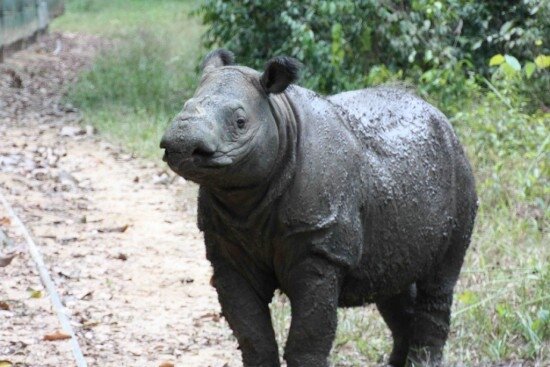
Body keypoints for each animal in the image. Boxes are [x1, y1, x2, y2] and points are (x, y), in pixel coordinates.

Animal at [160, 49, 478, 367]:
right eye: (184, 106)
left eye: (240, 121)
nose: (182, 142)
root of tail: (439, 115)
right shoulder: (228, 250)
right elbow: (252, 336)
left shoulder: (320, 246)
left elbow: (308, 339)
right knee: (392, 283)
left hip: (460, 172)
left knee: (439, 282)